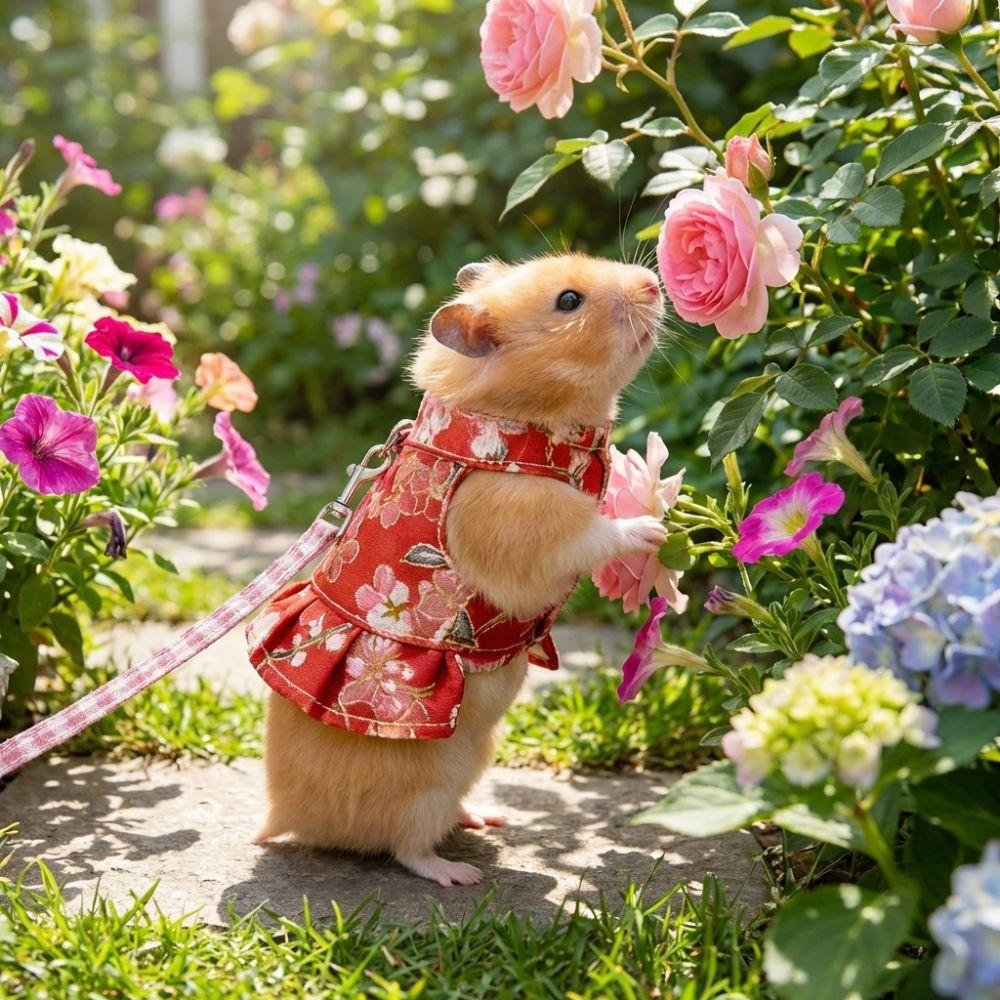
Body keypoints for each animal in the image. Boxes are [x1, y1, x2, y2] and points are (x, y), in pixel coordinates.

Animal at [256, 253, 666, 886]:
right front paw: (656, 527)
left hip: (476, 754)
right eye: (568, 301)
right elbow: (593, 532)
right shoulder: (526, 525)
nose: (654, 284)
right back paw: (461, 872)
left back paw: (487, 819)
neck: (512, 419)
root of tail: (286, 816)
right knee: (408, 848)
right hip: (426, 783)